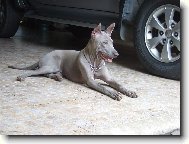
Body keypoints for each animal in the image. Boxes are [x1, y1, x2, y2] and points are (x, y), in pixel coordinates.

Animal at [8, 23, 137, 100]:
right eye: (104, 43)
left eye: (112, 43)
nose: (117, 54)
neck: (95, 62)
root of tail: (44, 56)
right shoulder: (90, 81)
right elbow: (103, 87)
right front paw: (113, 93)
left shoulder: (109, 79)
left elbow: (119, 84)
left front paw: (129, 91)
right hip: (50, 66)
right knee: (35, 72)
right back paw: (22, 76)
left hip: (54, 69)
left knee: (46, 74)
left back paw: (57, 77)